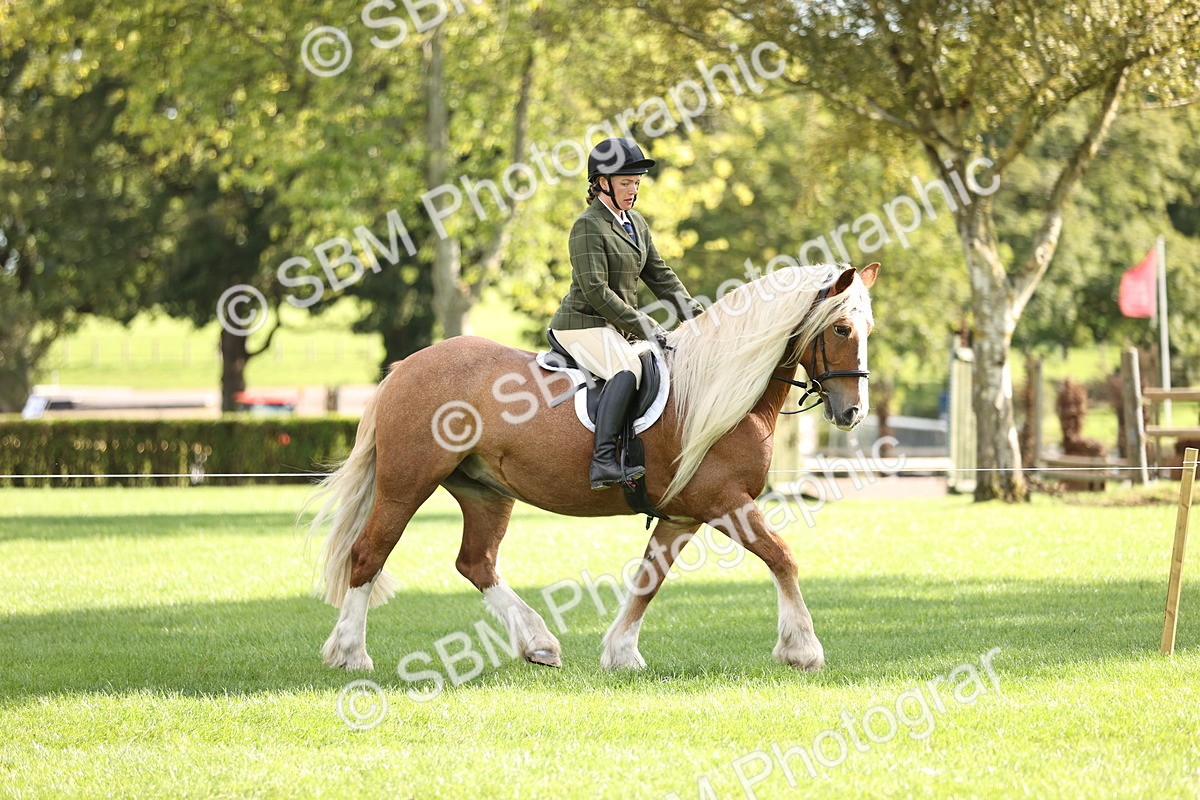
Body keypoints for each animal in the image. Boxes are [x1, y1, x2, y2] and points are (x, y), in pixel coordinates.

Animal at [311, 262, 878, 674]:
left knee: (476, 563)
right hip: (407, 484)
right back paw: (351, 655)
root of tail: (407, 366)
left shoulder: (681, 516)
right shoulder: (725, 503)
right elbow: (782, 557)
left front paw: (621, 653)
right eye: (842, 328)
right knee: (369, 553)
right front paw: (802, 649)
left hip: (484, 491)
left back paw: (538, 644)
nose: (852, 413)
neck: (718, 391)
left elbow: (649, 580)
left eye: (868, 329)